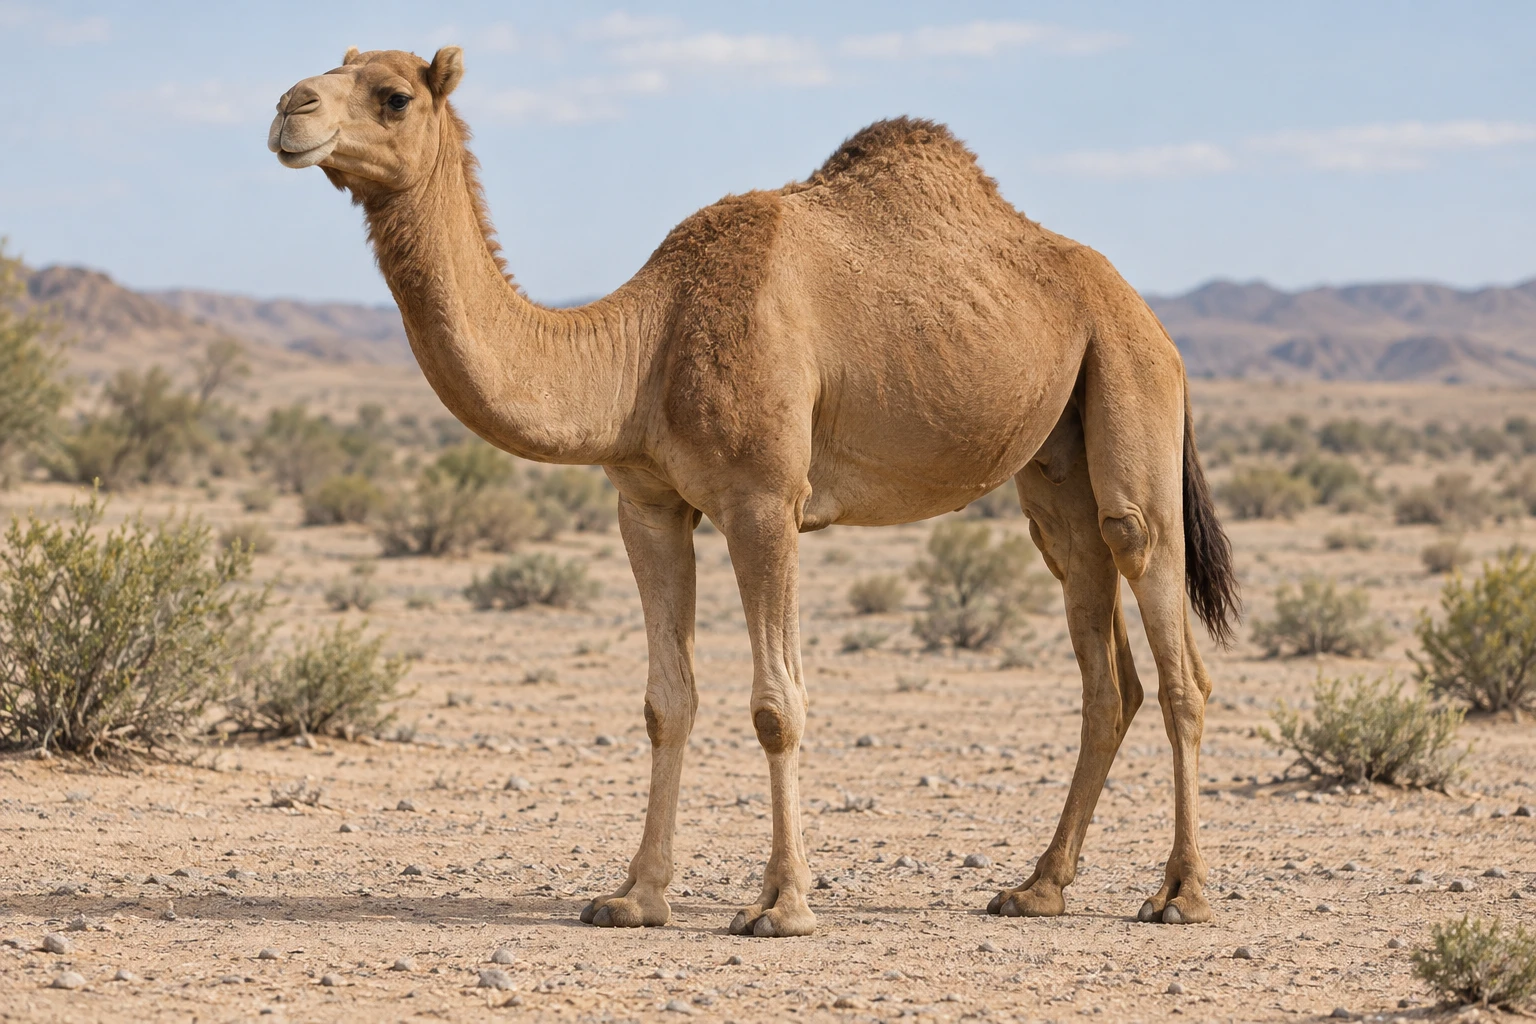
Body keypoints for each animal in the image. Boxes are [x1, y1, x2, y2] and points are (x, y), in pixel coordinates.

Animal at [268, 46, 1239, 938]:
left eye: (393, 96)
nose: (288, 109)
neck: (644, 345)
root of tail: (1148, 314)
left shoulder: (766, 499)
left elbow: (777, 705)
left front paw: (781, 904)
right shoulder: (648, 505)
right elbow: (666, 701)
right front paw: (634, 897)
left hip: (1131, 383)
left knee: (1168, 635)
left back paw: (1181, 894)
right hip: (1054, 467)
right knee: (1103, 661)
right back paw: (1037, 887)